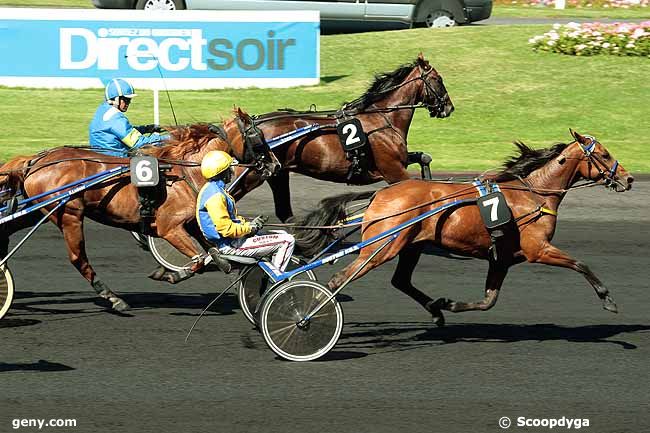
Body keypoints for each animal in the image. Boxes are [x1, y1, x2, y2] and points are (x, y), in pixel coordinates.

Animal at [0, 108, 270, 310]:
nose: (273, 165)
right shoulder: (169, 228)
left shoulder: (191, 223)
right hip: (68, 215)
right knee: (79, 258)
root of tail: (35, 161)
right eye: (257, 136)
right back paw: (113, 298)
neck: (184, 172)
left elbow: (213, 252)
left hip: (36, 211)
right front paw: (172, 274)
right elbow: (198, 259)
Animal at [172, 53, 456, 223]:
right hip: (251, 173)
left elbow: (424, 158)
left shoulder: (398, 162)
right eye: (439, 79)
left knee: (283, 211)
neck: (381, 118)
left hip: (276, 173)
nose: (448, 108)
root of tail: (247, 126)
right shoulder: (393, 170)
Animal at [298, 130, 632, 326]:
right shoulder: (538, 249)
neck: (533, 194)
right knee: (340, 278)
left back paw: (435, 310)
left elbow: (488, 300)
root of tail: (379, 195)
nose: (627, 178)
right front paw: (609, 300)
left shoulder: (502, 258)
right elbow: (580, 263)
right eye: (604, 154)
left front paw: (448, 303)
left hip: (411, 245)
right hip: (383, 246)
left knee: (401, 281)